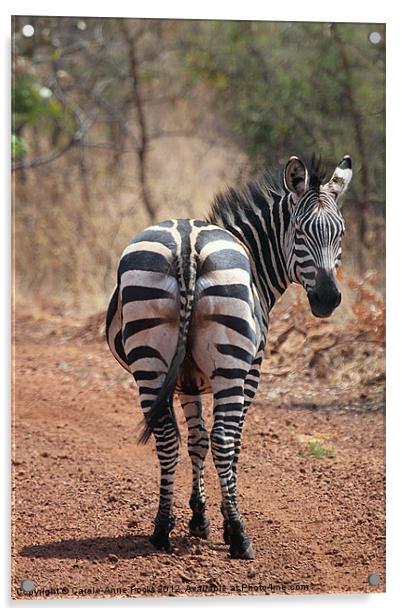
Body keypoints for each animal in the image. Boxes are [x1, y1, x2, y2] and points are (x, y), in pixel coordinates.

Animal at [106, 153, 352, 560]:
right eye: (301, 233)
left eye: (340, 234)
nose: (327, 300)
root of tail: (186, 243)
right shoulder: (252, 370)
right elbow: (231, 442)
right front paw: (222, 518)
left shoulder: (187, 379)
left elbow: (196, 440)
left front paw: (198, 517)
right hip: (230, 365)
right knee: (223, 438)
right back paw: (239, 537)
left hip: (150, 362)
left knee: (167, 437)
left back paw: (161, 529)